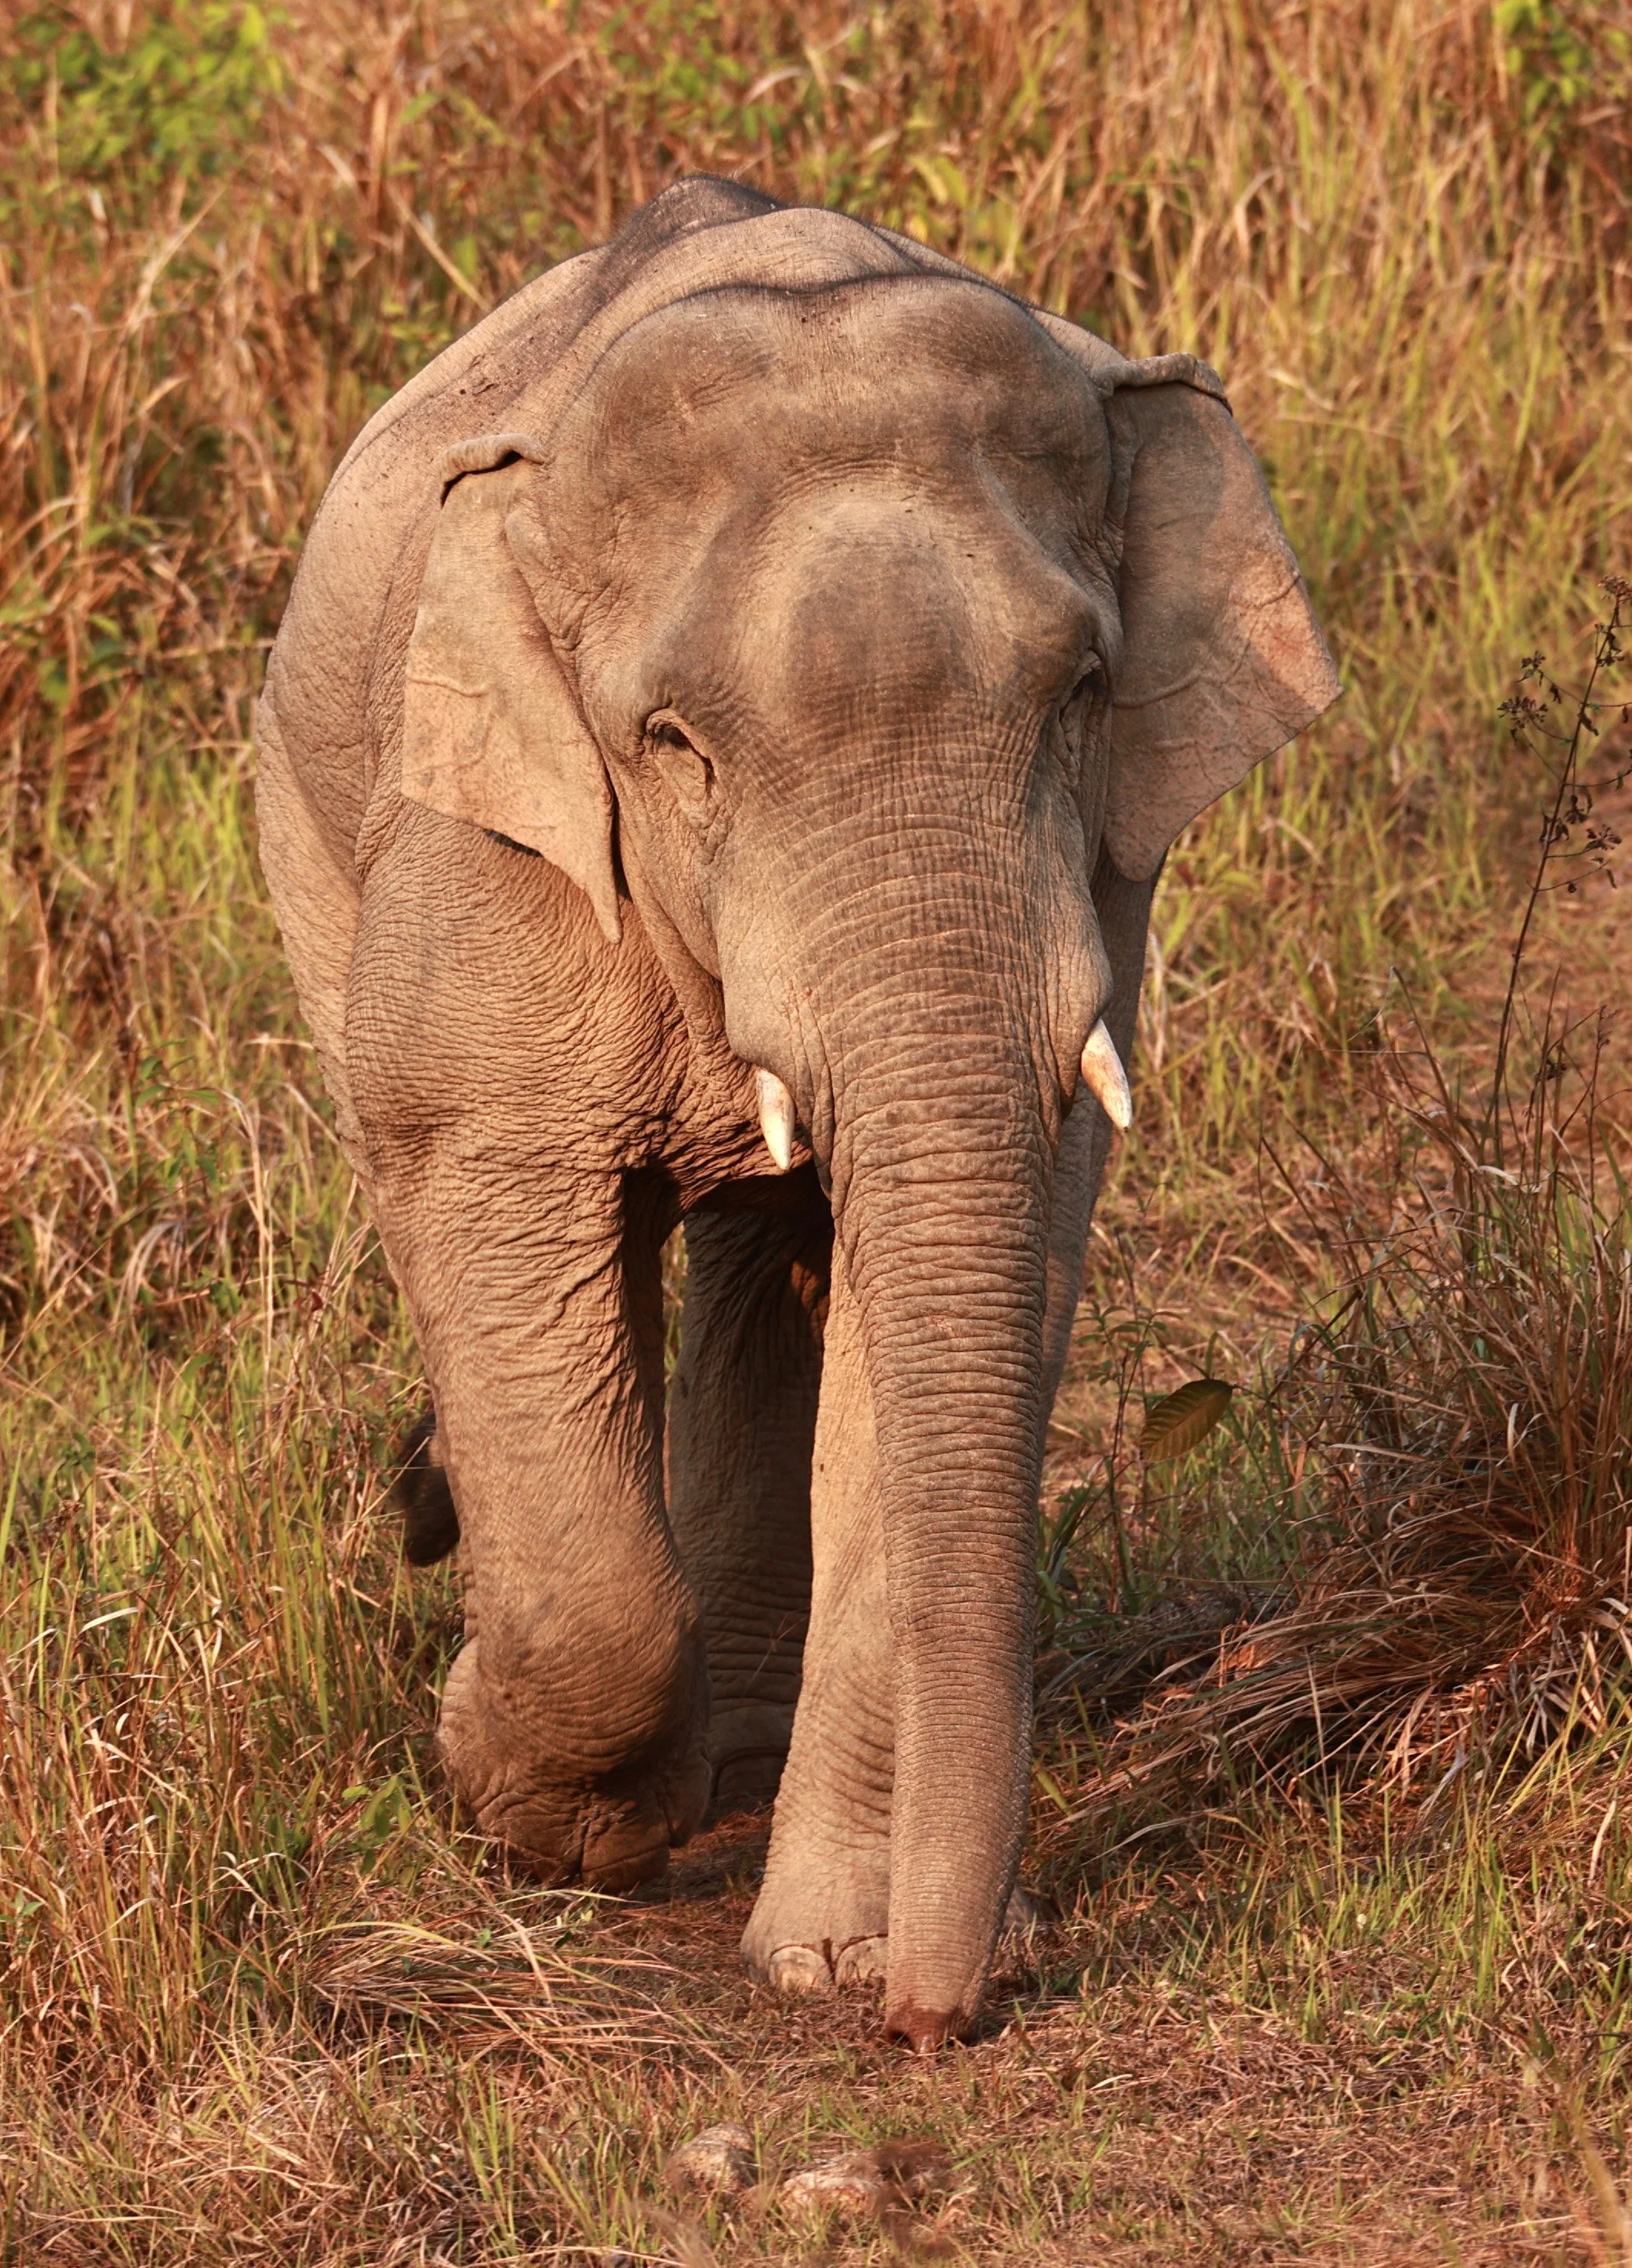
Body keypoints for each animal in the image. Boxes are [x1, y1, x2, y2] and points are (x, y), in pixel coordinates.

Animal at [256, 175, 1339, 2049]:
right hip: (305, 829)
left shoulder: (1097, 901)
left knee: (775, 1256)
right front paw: (531, 1803)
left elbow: (970, 1267)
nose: (936, 2017)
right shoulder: (486, 861)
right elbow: (490, 1196)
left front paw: (830, 1956)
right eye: (673, 743)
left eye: (1081, 694)